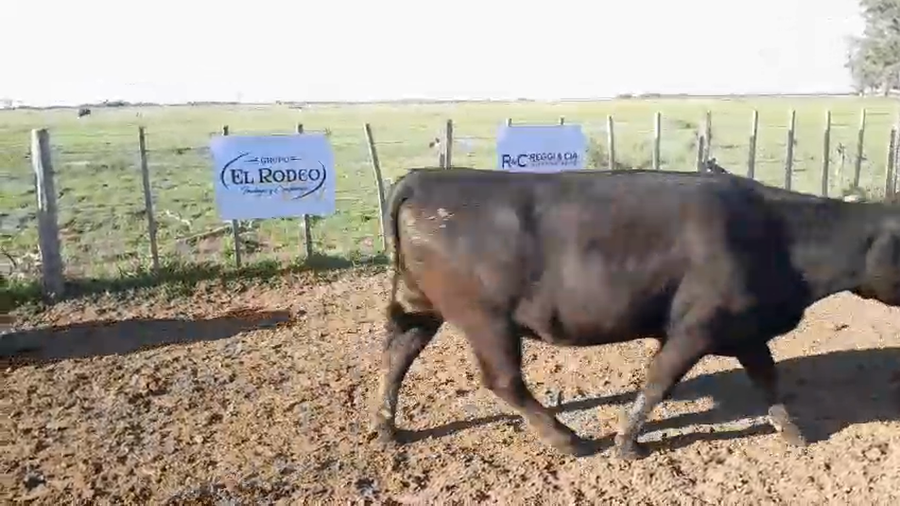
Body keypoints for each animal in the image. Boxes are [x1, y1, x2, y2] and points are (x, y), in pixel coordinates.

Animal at [369, 166, 900, 460]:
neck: (778, 237)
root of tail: (426, 177)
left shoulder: (744, 330)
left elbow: (768, 380)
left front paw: (792, 432)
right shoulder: (694, 327)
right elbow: (659, 382)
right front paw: (627, 443)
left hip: (420, 305)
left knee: (396, 356)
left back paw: (387, 429)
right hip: (488, 319)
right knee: (503, 380)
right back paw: (567, 439)